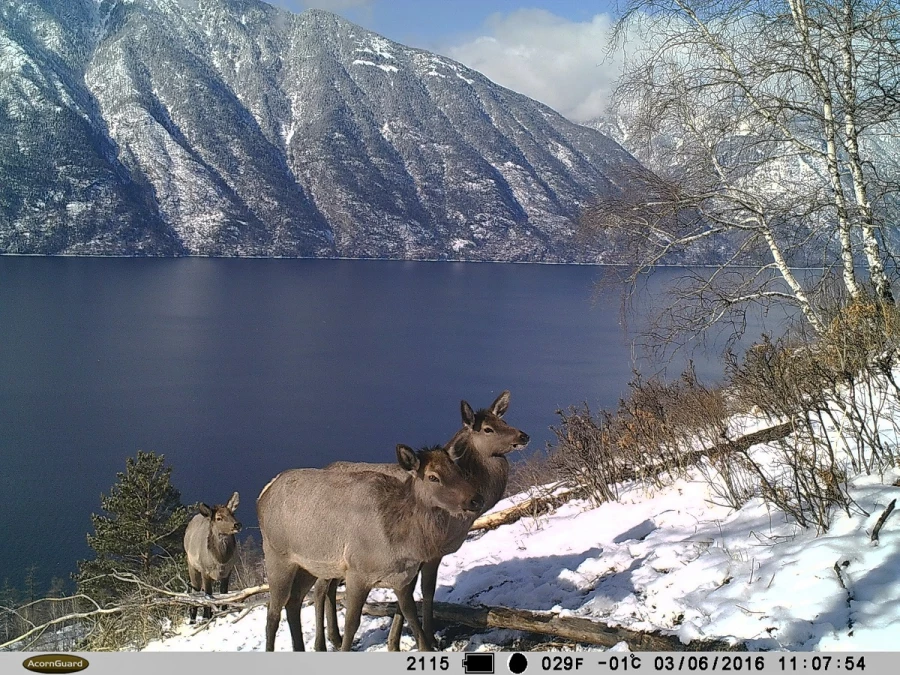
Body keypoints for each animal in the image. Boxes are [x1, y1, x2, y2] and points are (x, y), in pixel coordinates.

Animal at [184, 492, 243, 624]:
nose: (237, 524)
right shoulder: (205, 570)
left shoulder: (228, 571)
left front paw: (223, 613)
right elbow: (208, 595)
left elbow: (223, 593)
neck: (220, 560)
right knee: (195, 591)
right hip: (192, 565)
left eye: (233, 514)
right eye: (219, 518)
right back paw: (192, 620)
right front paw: (206, 617)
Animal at [256, 444, 486, 648]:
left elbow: (412, 617)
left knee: (293, 602)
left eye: (458, 470)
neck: (401, 545)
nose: (476, 499)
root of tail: (263, 494)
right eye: (433, 477)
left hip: (308, 567)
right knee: (272, 613)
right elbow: (351, 624)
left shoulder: (402, 579)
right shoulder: (357, 572)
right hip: (277, 556)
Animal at [314, 390, 532, 648]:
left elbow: (409, 596)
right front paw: (426, 639)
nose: (523, 435)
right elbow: (426, 592)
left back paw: (335, 637)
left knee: (328, 586)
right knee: (319, 588)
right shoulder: (431, 553)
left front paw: (398, 643)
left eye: (503, 421)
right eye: (488, 429)